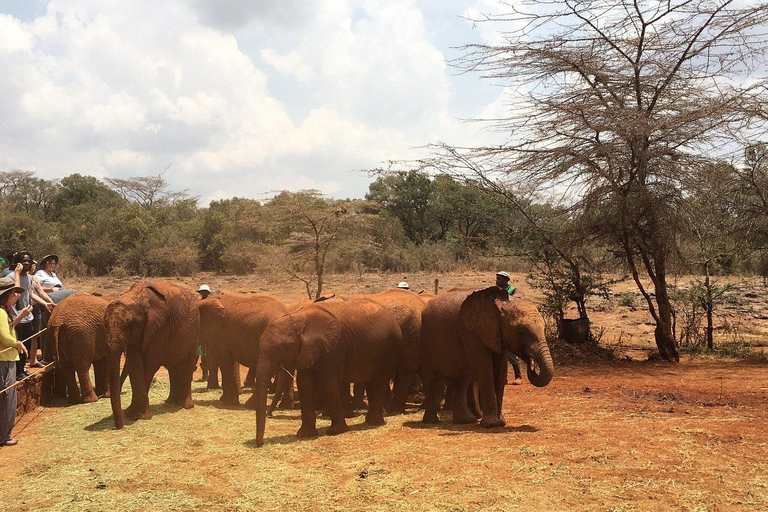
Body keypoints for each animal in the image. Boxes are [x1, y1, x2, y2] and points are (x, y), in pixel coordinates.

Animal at [256, 302, 404, 446]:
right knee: (370, 380)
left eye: (281, 348)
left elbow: (329, 381)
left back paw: (374, 422)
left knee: (380, 380)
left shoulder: (335, 347)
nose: (260, 444)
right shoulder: (308, 350)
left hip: (390, 348)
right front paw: (305, 435)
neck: (299, 319)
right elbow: (305, 383)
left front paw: (336, 432)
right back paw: (369, 420)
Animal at [420, 288, 552, 428]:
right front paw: (492, 424)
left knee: (463, 378)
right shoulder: (471, 332)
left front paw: (501, 421)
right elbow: (484, 366)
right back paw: (431, 421)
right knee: (431, 376)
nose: (531, 362)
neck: (500, 304)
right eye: (521, 332)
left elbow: (500, 369)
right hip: (426, 338)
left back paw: (465, 421)